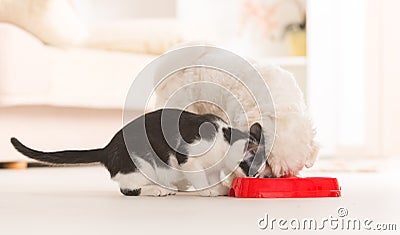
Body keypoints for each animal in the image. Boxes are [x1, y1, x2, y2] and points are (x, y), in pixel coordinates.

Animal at [10, 108, 266, 196]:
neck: (225, 137)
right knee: (128, 189)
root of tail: (107, 149)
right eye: (254, 170)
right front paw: (210, 190)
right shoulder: (188, 158)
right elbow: (199, 175)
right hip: (140, 165)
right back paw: (159, 190)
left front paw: (217, 185)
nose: (259, 178)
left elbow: (211, 174)